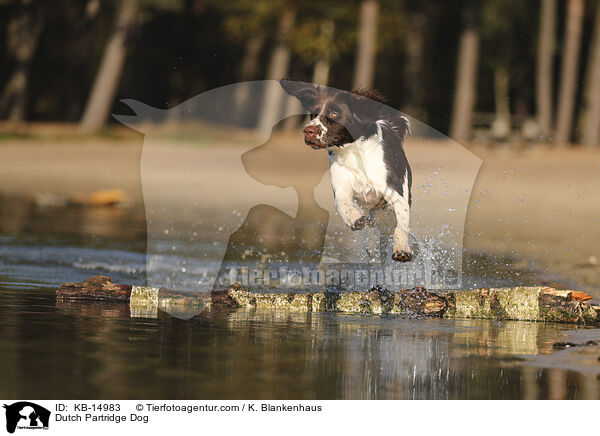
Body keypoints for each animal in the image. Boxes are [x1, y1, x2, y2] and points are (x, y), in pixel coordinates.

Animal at [280, 79, 412, 260]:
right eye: (313, 114)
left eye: (335, 113)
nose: (307, 131)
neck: (354, 152)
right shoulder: (341, 188)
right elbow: (343, 204)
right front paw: (355, 218)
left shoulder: (395, 191)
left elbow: (401, 223)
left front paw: (402, 249)